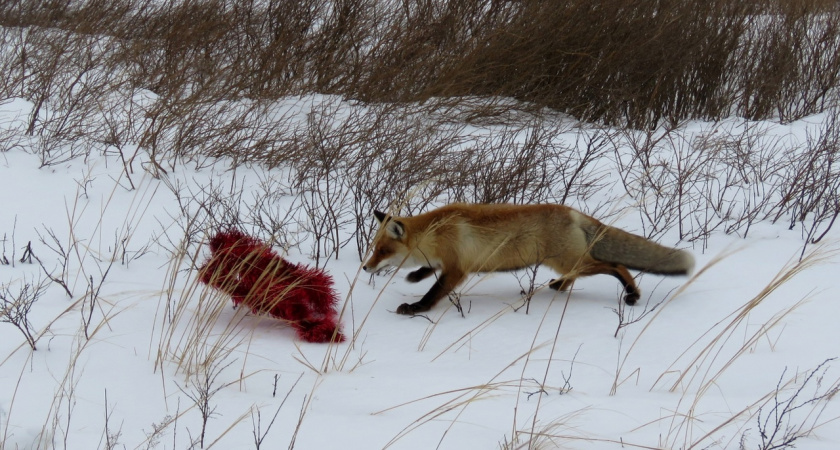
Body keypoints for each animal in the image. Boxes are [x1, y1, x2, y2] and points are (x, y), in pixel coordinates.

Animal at [362, 202, 696, 314]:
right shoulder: (447, 262)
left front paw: (416, 308)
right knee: (578, 274)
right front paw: (413, 275)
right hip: (566, 262)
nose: (365, 267)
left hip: (571, 260)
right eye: (374, 248)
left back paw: (632, 294)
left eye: (382, 251)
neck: (435, 232)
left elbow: (434, 292)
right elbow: (428, 271)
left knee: (617, 265)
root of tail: (573, 212)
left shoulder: (458, 269)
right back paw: (558, 287)